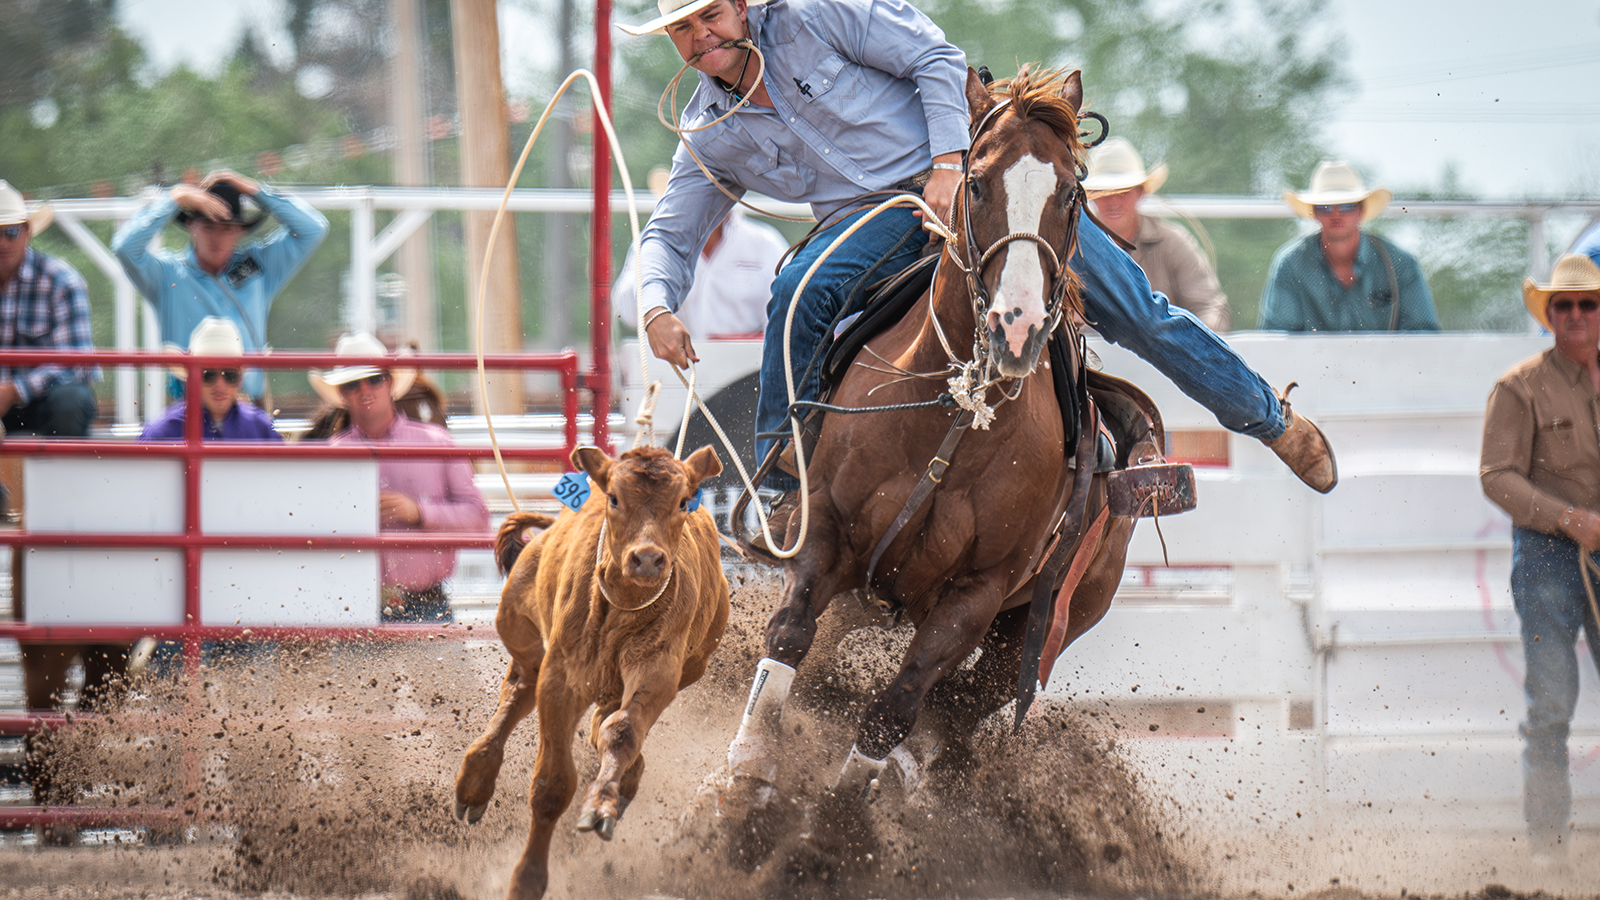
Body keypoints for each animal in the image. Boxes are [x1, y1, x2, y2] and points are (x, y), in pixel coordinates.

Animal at [457, 441, 732, 896]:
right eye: (615, 498)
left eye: (682, 501)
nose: (647, 559)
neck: (621, 604)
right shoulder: (561, 680)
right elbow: (551, 784)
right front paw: (527, 880)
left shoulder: (657, 669)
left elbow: (622, 732)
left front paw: (604, 803)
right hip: (519, 629)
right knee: (518, 692)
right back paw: (474, 783)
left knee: (600, 717)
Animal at [726, 66, 1164, 826]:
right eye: (978, 183)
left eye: (1071, 193)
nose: (1016, 326)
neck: (952, 414)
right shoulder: (826, 536)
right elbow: (786, 640)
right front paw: (740, 792)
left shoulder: (976, 594)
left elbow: (894, 709)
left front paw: (833, 832)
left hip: (1034, 633)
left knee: (952, 720)